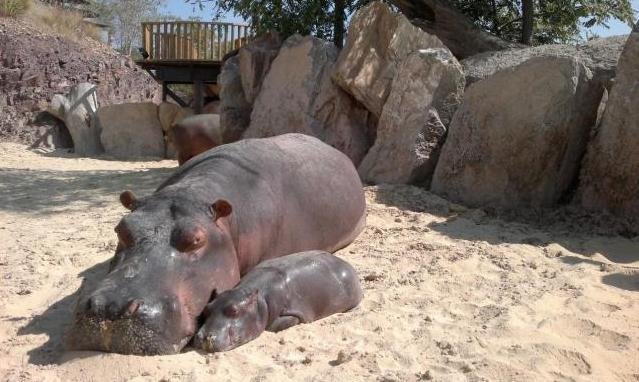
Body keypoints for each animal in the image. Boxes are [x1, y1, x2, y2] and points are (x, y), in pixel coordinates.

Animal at [192, 251, 362, 352]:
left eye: (234, 310)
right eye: (207, 309)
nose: (203, 337)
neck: (256, 296)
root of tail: (346, 264)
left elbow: (278, 324)